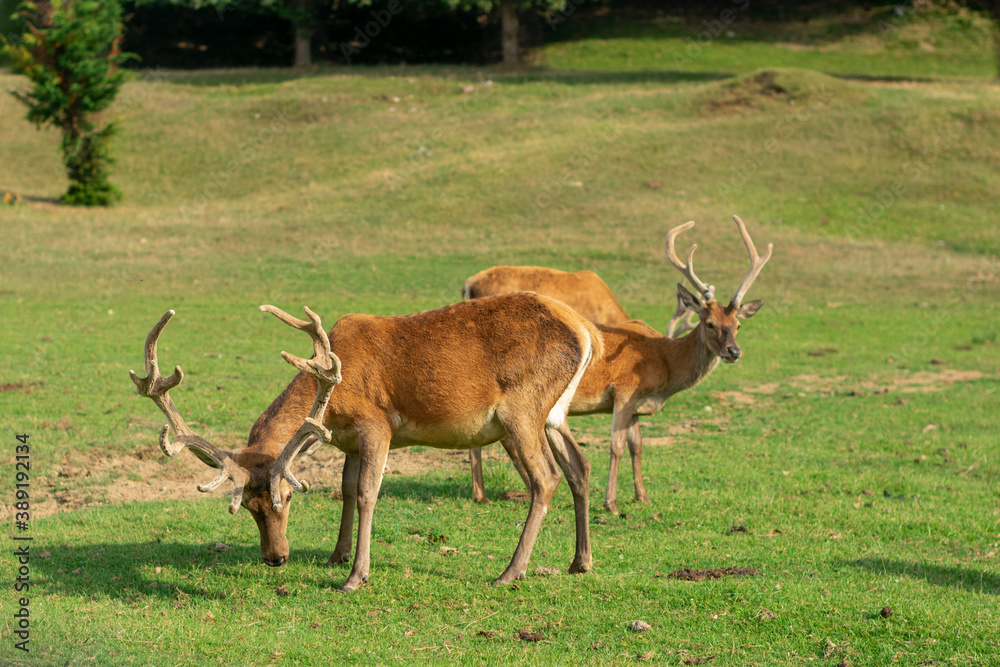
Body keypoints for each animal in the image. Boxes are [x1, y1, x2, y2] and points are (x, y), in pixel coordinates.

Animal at [130, 292, 603, 591]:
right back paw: (580, 562)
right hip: (553, 416)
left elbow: (367, 494)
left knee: (545, 478)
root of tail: (585, 332)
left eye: (288, 496)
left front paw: (355, 577)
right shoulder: (349, 439)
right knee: (579, 467)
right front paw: (335, 556)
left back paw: (510, 572)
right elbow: (344, 489)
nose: (276, 558)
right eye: (247, 504)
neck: (334, 399)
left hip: (521, 411)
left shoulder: (377, 424)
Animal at [465, 216, 772, 514]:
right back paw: (483, 495)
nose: (734, 351)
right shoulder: (624, 391)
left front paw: (642, 496)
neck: (664, 365)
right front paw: (610, 503)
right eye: (709, 324)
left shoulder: (637, 405)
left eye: (738, 325)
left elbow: (637, 446)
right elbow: (616, 446)